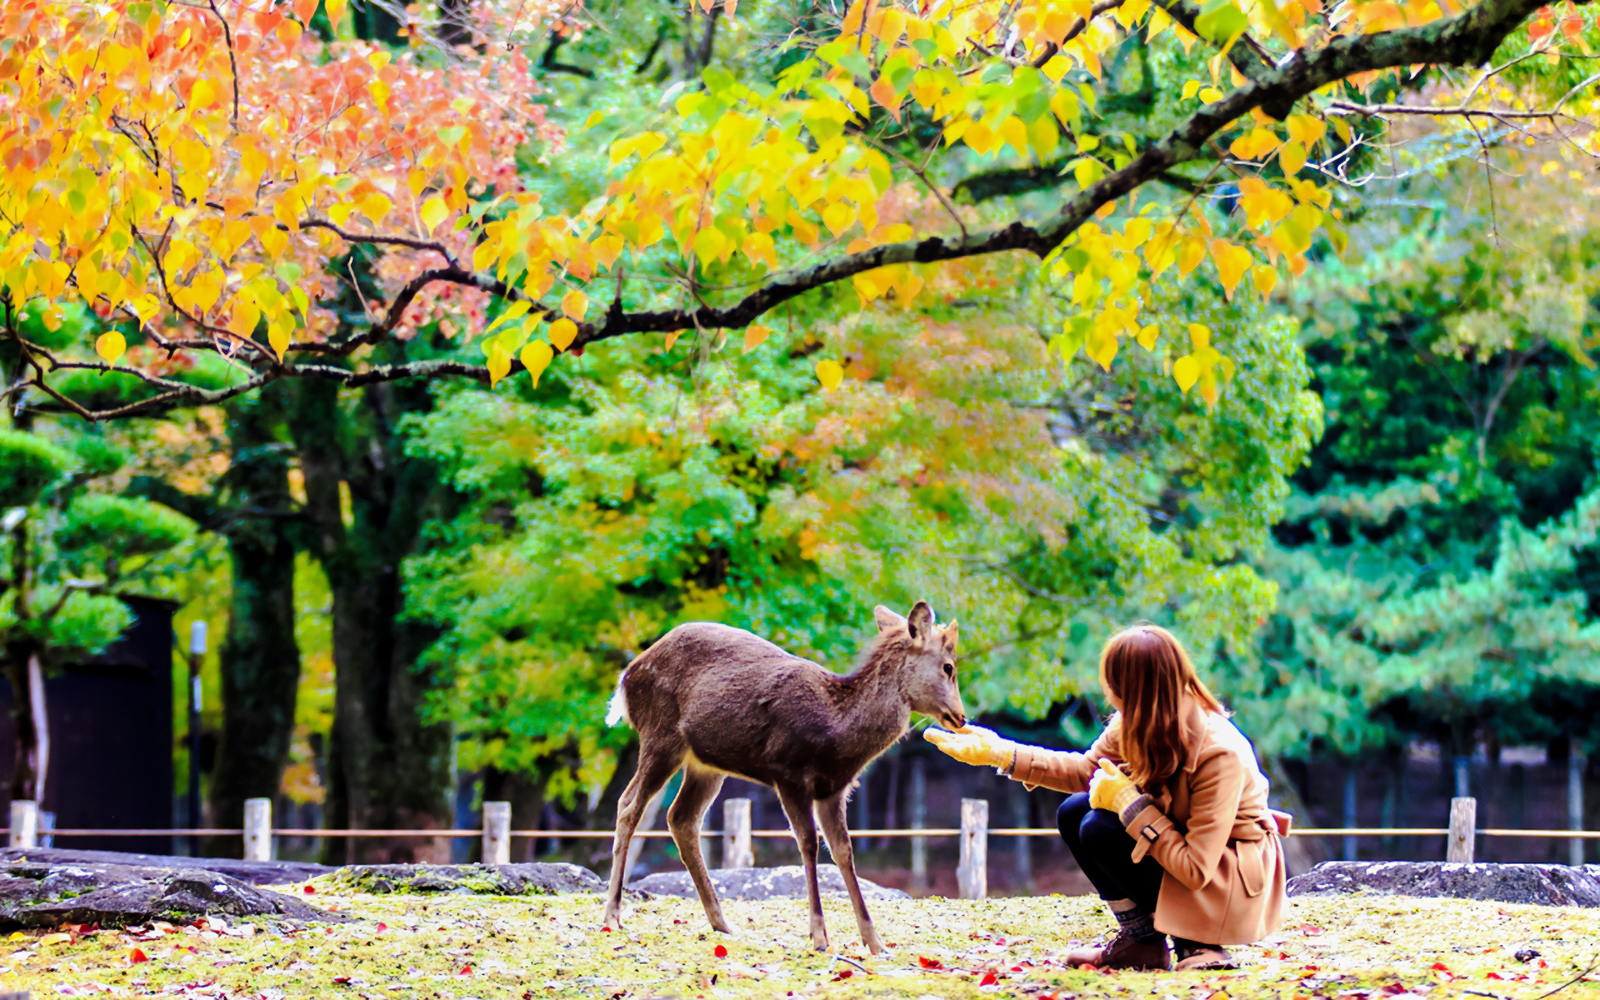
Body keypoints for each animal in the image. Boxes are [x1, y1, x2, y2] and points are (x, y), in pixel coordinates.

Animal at [601, 600, 965, 954]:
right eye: (949, 666)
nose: (960, 717)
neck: (836, 734)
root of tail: (625, 679)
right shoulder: (788, 773)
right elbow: (808, 842)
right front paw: (819, 937)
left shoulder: (834, 790)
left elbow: (843, 850)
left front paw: (875, 942)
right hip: (660, 736)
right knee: (628, 804)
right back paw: (613, 915)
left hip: (706, 764)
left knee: (681, 818)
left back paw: (722, 923)